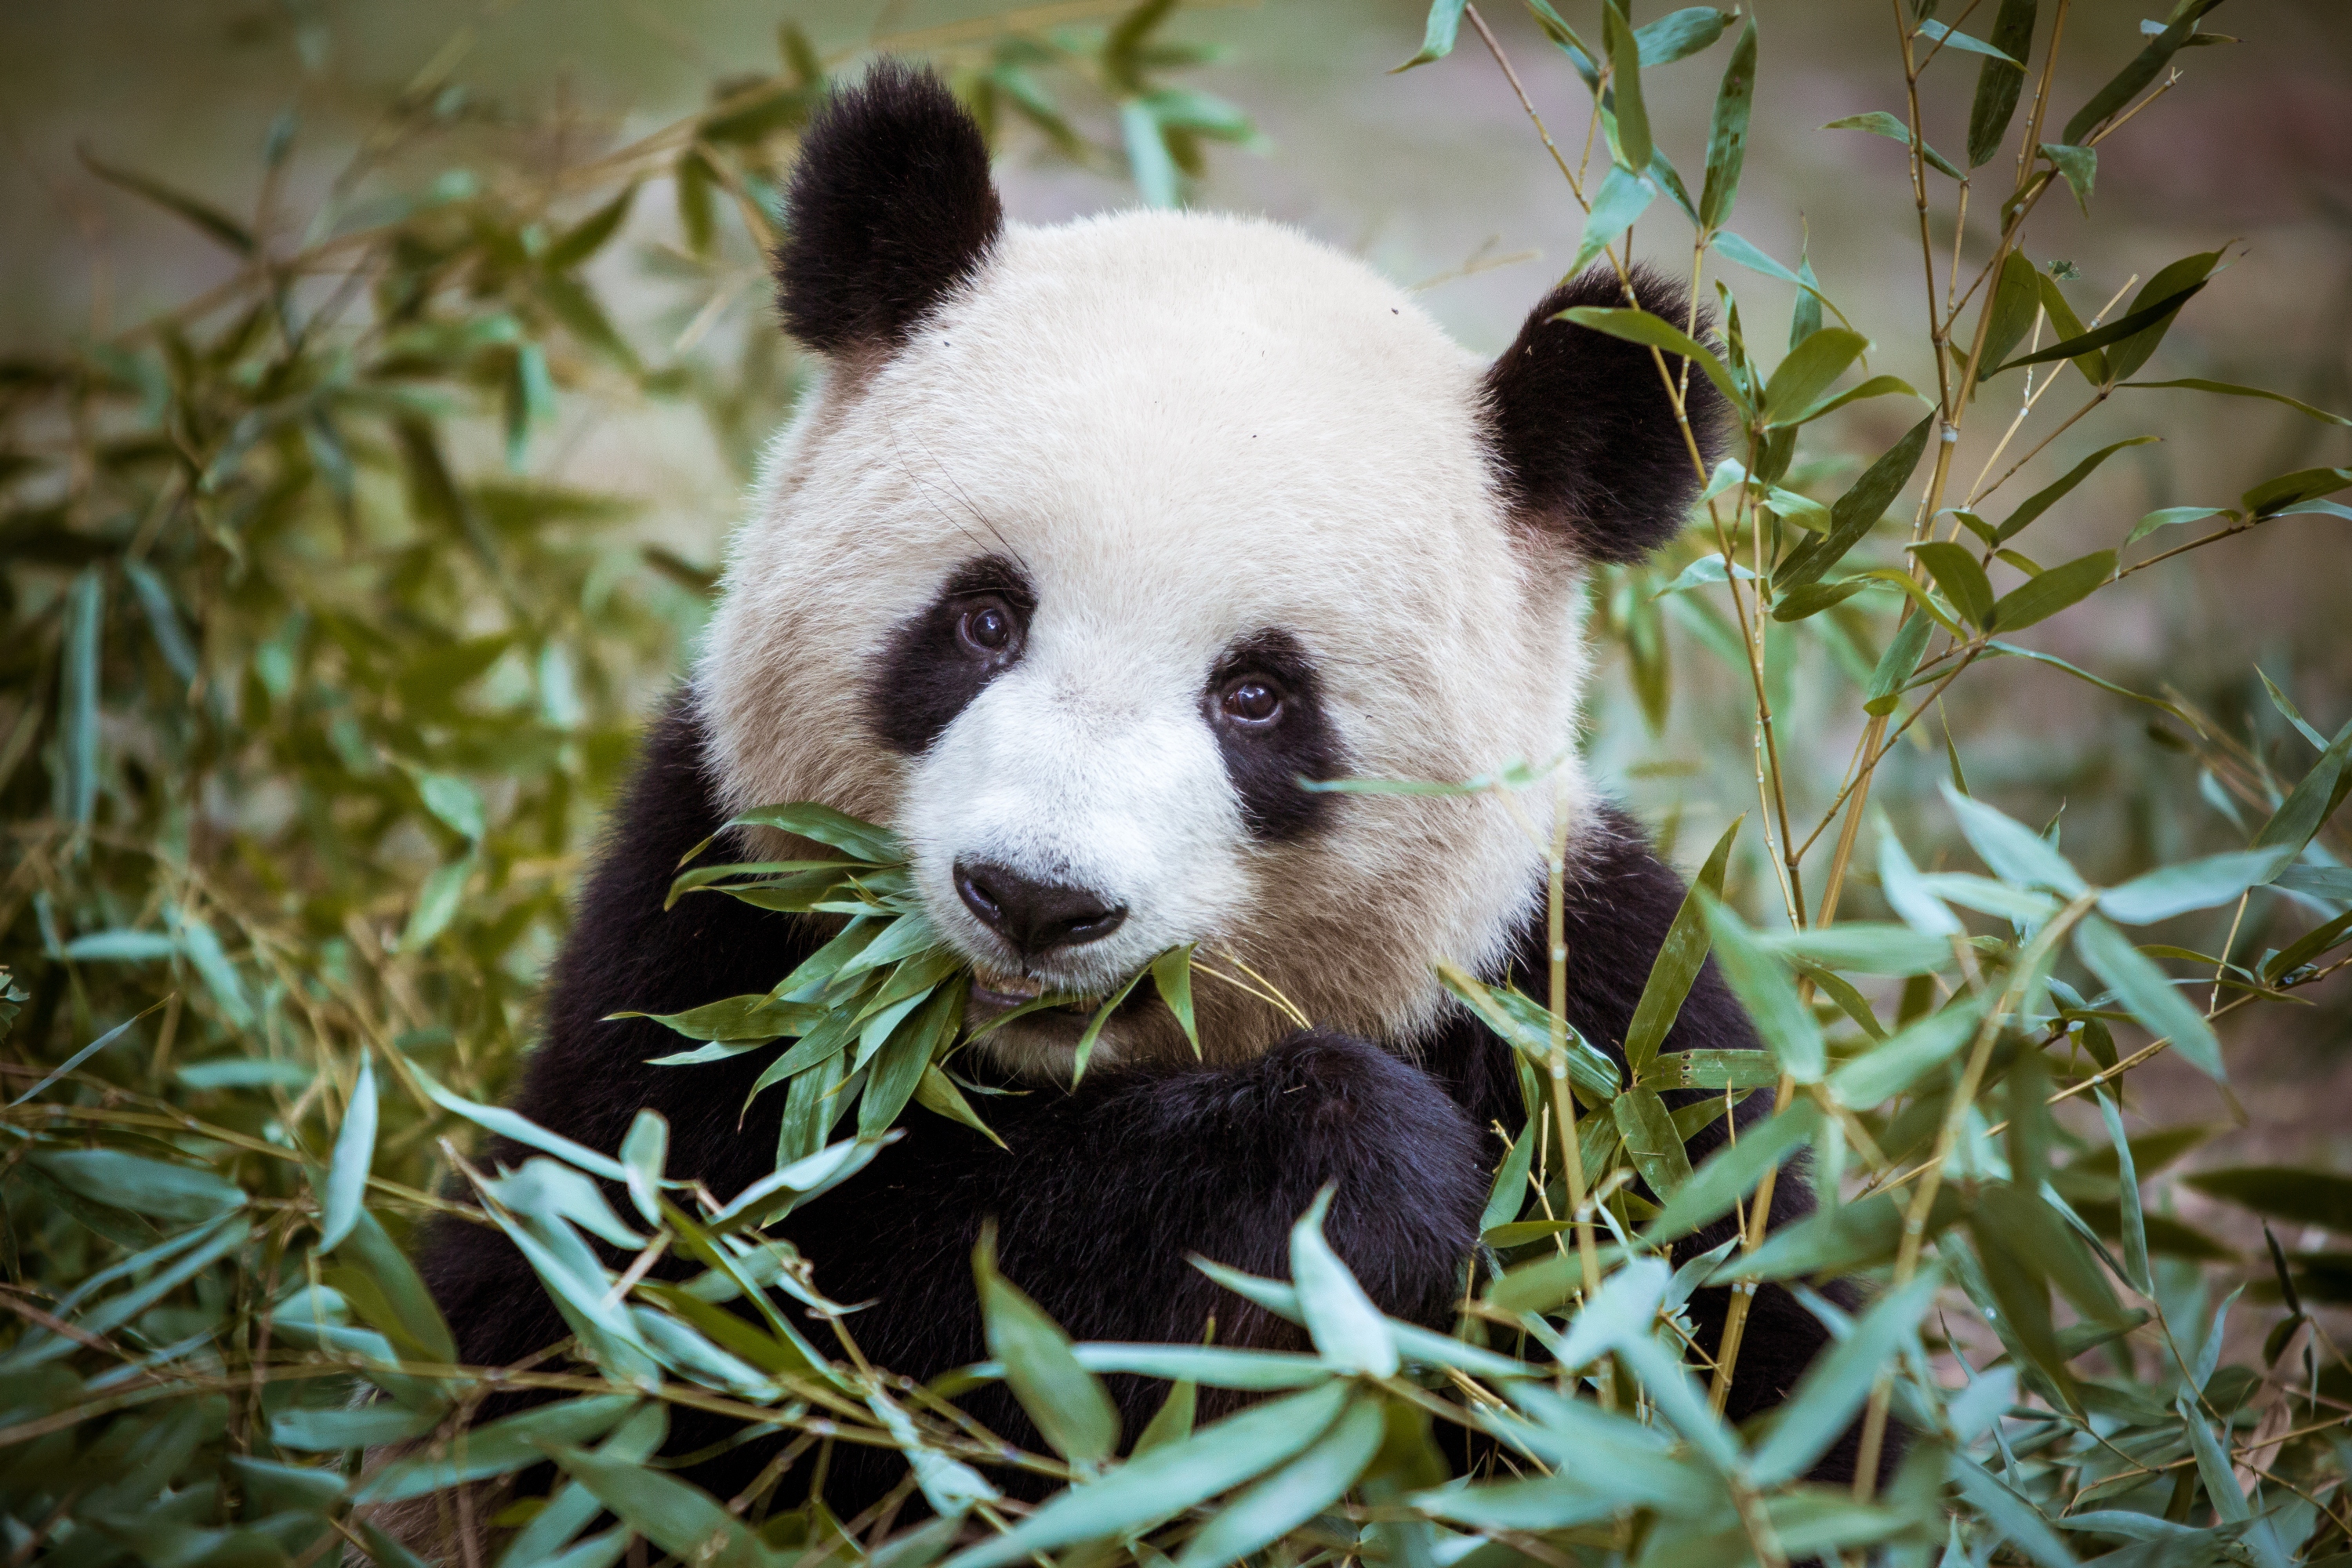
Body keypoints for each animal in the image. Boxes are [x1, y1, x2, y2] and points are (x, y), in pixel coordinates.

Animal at [419, 61, 1858, 1519]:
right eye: (985, 620)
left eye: (1259, 695)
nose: (1035, 900)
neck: (1047, 1071)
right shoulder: (707, 931)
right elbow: (708, 1319)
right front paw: (1350, 1180)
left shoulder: (1608, 1030)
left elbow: (1764, 1375)